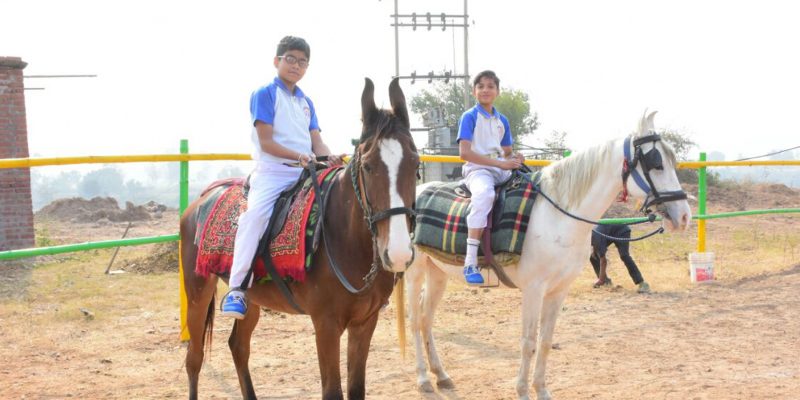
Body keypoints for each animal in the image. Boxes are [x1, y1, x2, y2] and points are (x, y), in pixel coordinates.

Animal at [180, 78, 419, 400]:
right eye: (368, 166)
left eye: (415, 164)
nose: (398, 253)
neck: (345, 239)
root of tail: (200, 200)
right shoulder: (326, 325)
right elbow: (333, 391)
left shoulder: (364, 323)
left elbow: (357, 389)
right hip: (197, 292)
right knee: (194, 358)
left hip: (251, 298)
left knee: (238, 346)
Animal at [402, 111, 692, 400]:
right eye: (656, 163)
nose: (684, 216)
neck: (558, 214)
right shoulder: (534, 289)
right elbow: (528, 341)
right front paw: (522, 390)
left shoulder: (559, 289)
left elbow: (545, 341)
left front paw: (541, 389)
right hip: (414, 272)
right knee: (415, 321)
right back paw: (423, 379)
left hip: (438, 272)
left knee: (427, 319)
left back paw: (441, 375)